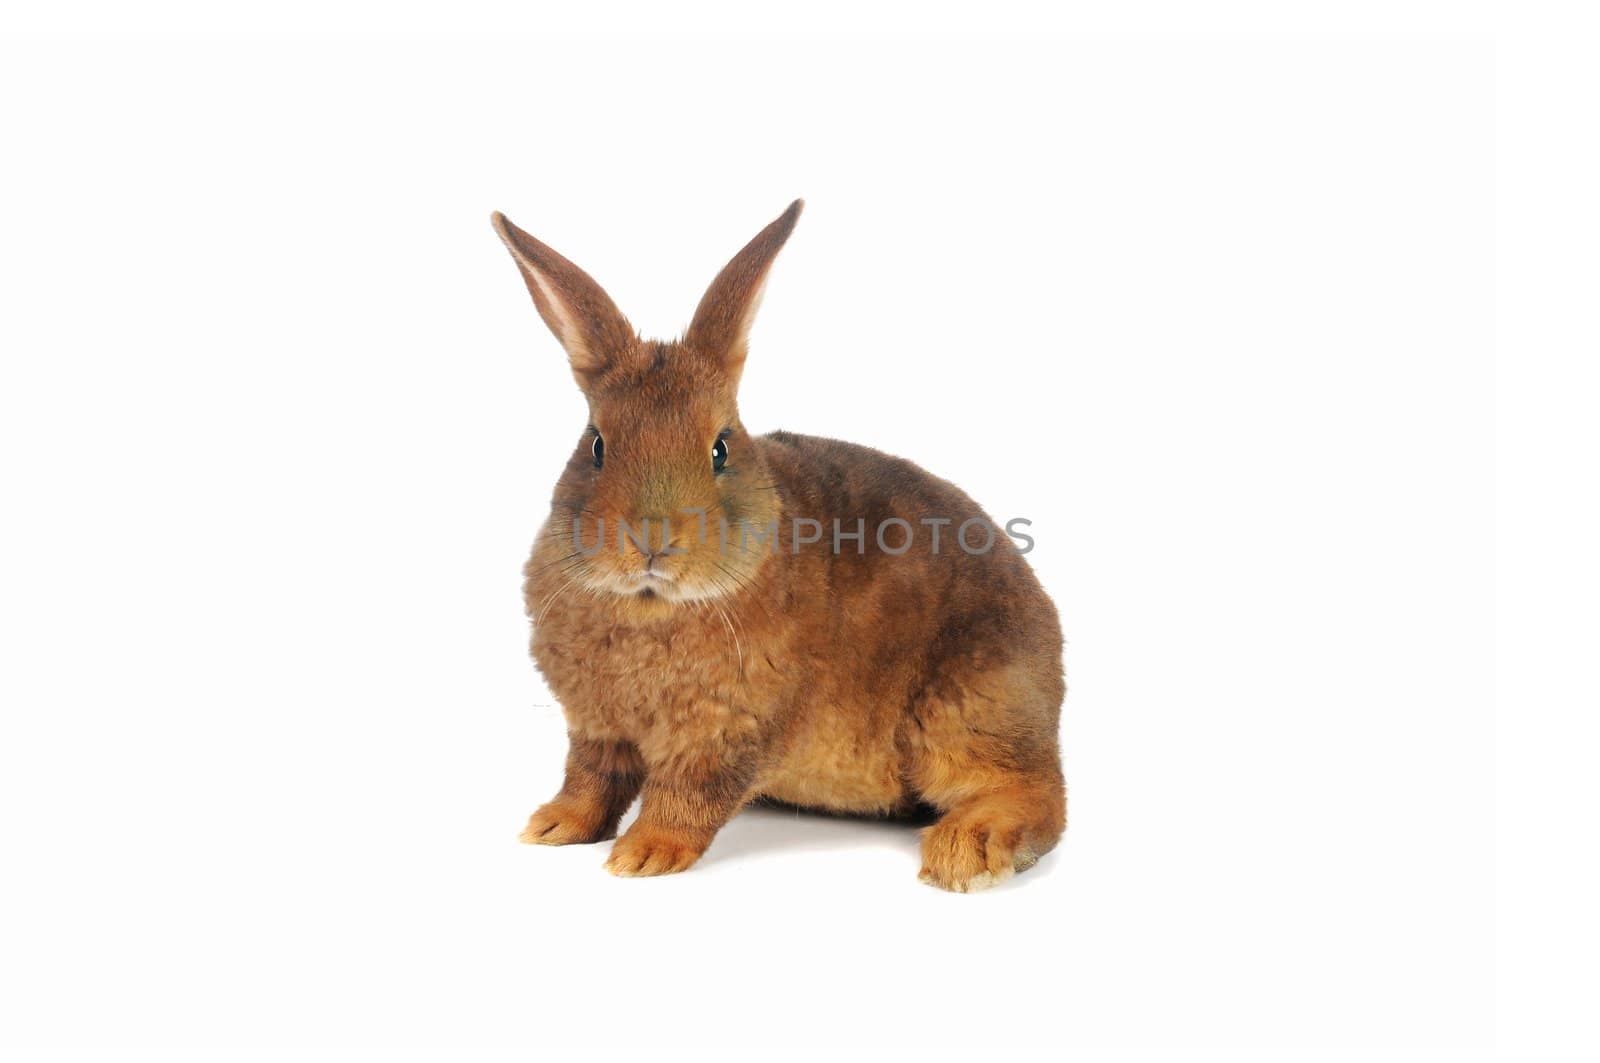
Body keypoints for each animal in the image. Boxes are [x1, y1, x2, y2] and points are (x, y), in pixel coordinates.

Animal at [486, 196, 1062, 890]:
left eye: (720, 447)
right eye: (596, 445)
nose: (652, 539)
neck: (652, 606)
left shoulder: (726, 734)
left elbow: (685, 797)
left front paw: (643, 855)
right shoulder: (598, 730)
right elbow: (590, 781)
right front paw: (552, 827)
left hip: (965, 712)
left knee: (1037, 795)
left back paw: (967, 850)